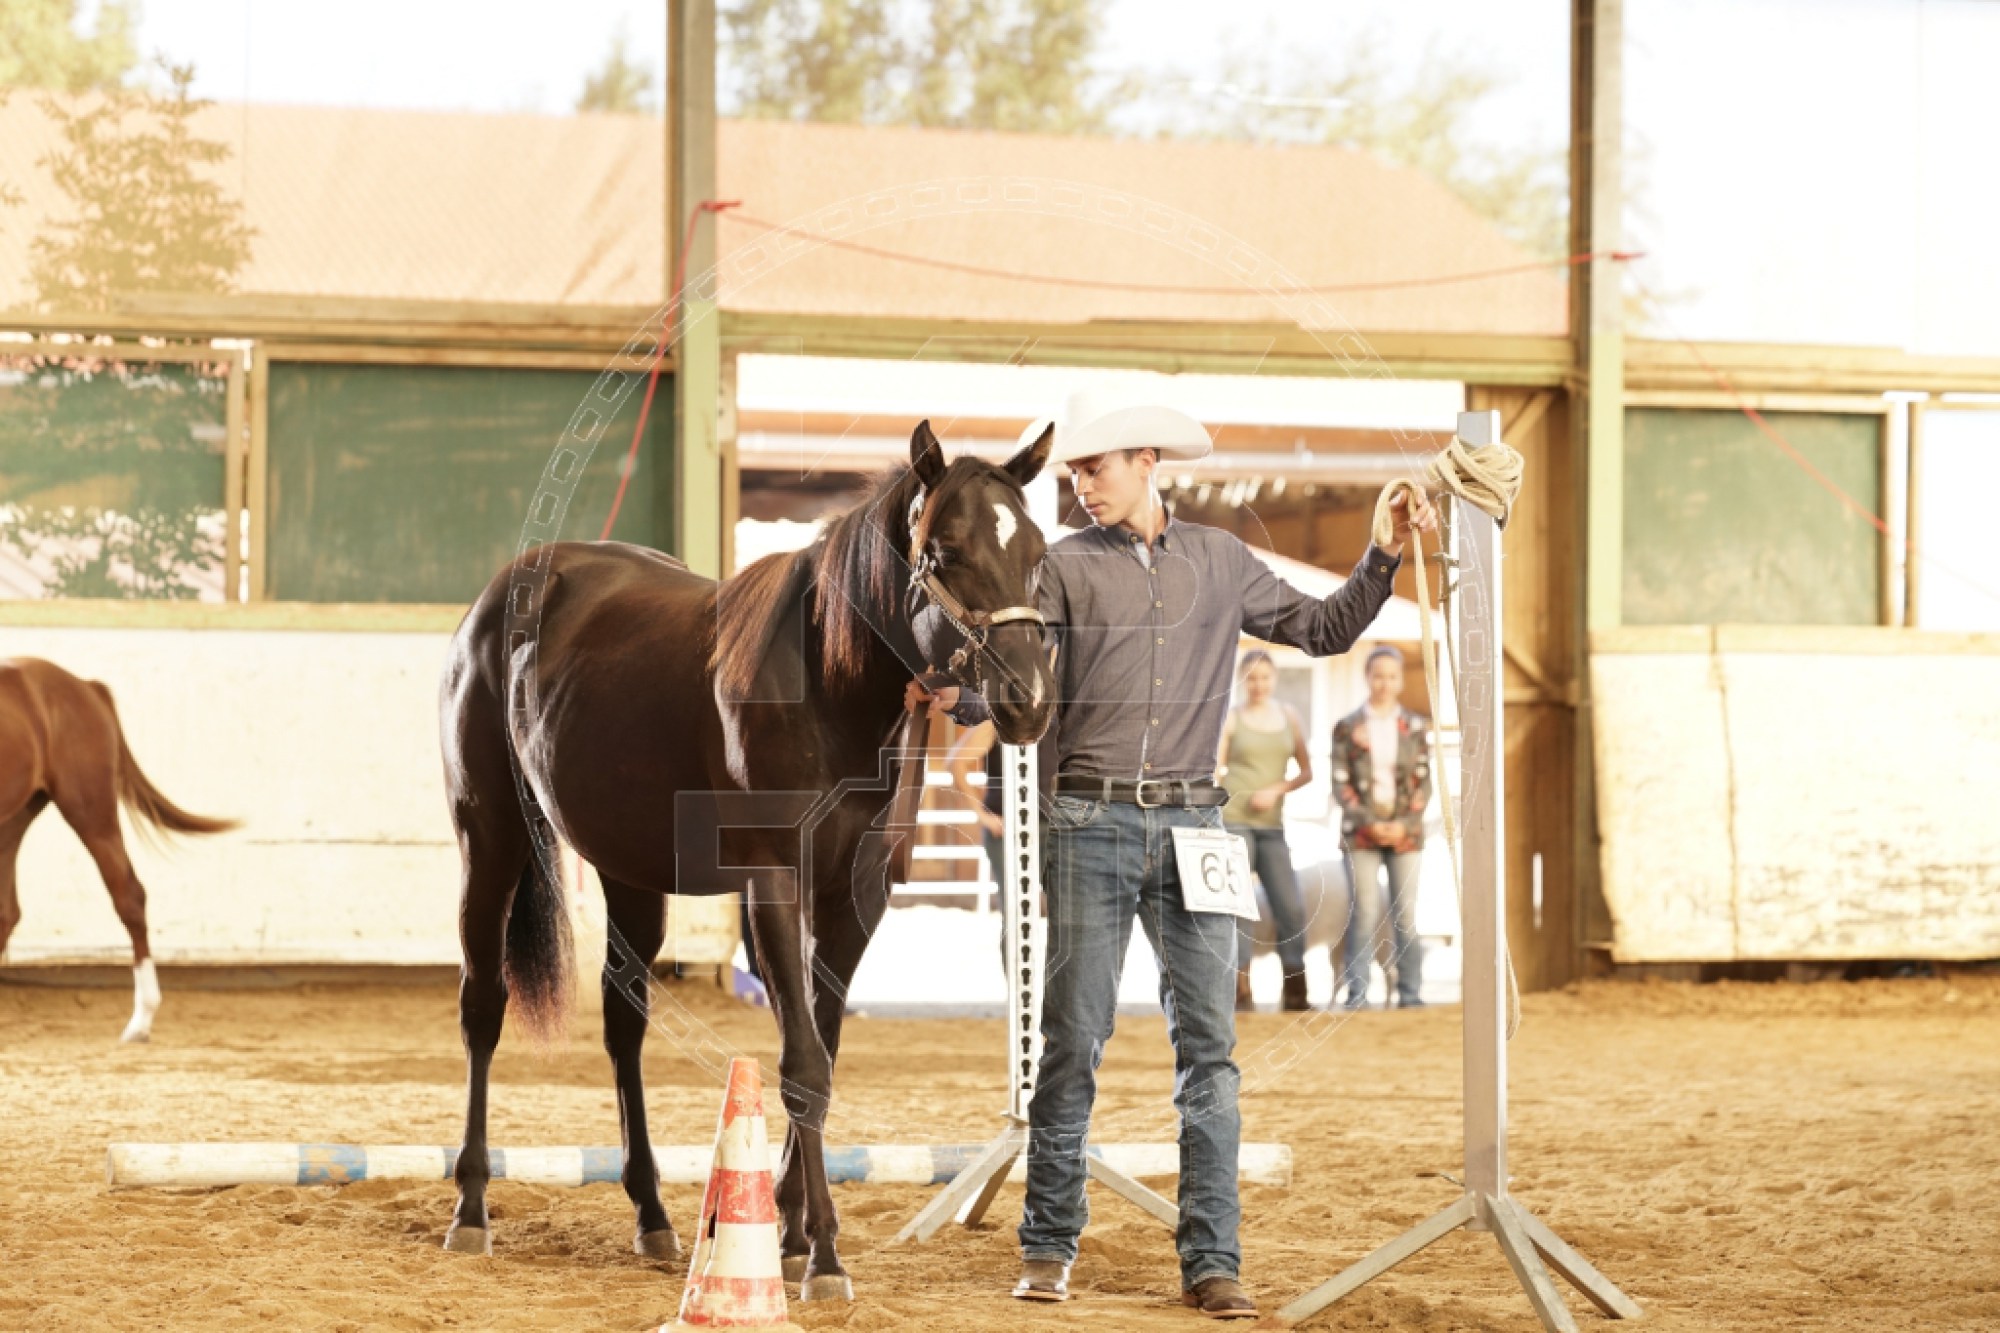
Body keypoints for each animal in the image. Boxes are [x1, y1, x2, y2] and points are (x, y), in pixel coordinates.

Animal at [0, 657, 237, 1041]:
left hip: (91, 811)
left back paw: (141, 1021)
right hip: (14, 820)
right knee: (8, 912)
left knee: (130, 896)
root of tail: (87, 687)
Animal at [438, 421, 1057, 1299]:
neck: (832, 687)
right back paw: (471, 1207)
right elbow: (802, 1061)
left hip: (632, 873)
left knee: (623, 1023)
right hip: (488, 838)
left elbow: (821, 1047)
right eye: (944, 552)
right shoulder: (773, 883)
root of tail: (504, 593)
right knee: (482, 1006)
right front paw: (822, 1254)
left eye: (1036, 549)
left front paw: (791, 1234)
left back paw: (652, 1215)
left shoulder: (857, 897)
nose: (1027, 698)